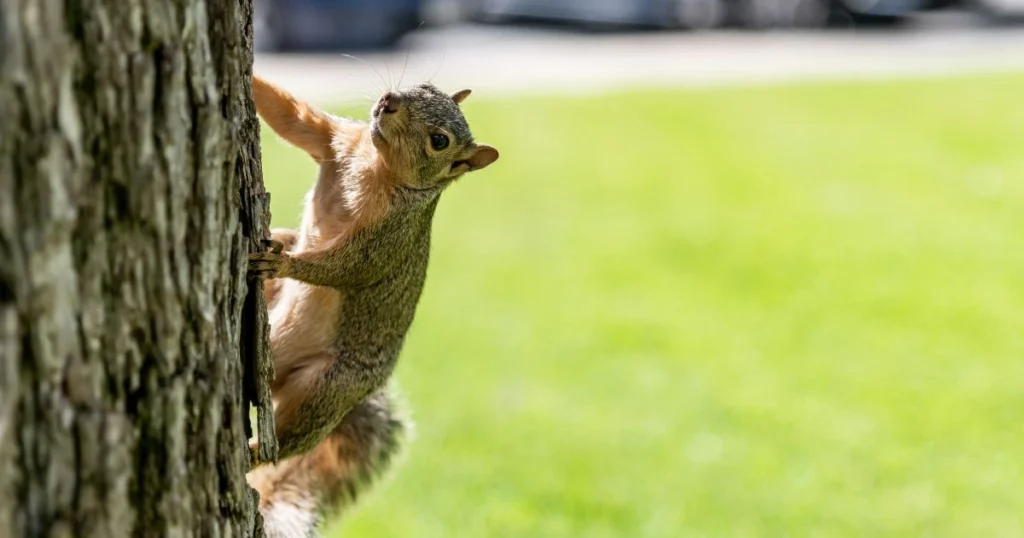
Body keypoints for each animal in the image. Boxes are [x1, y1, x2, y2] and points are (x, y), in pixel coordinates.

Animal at [247, 73, 499, 532]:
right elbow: (294, 118)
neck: (375, 162)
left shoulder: (389, 234)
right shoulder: (340, 140)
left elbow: (347, 267)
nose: (389, 101)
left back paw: (253, 451)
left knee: (292, 440)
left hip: (328, 386)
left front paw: (284, 263)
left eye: (440, 141)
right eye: (425, 85)